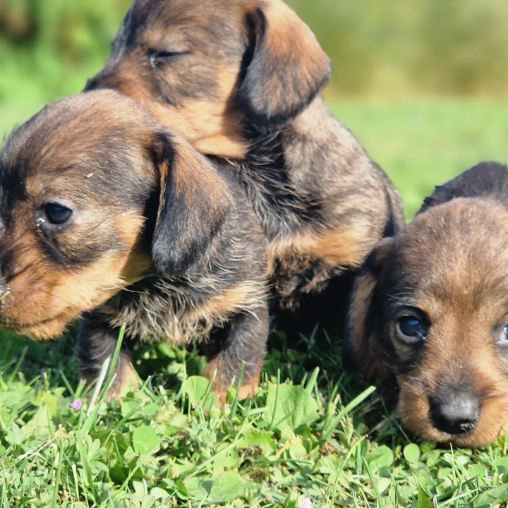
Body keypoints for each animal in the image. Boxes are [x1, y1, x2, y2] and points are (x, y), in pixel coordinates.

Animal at [0, 90, 270, 400]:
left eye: (57, 212)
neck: (153, 283)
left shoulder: (247, 305)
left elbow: (233, 365)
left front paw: (218, 403)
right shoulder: (99, 318)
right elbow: (107, 364)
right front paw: (112, 401)